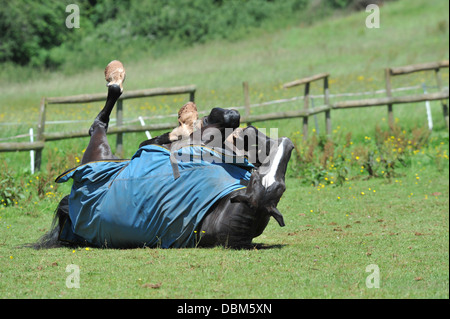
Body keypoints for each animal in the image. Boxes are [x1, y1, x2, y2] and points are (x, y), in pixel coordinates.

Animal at [35, 60, 296, 250]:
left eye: (280, 187)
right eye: (256, 180)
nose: (287, 144)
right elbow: (226, 118)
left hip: (98, 154)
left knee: (99, 124)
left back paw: (117, 80)